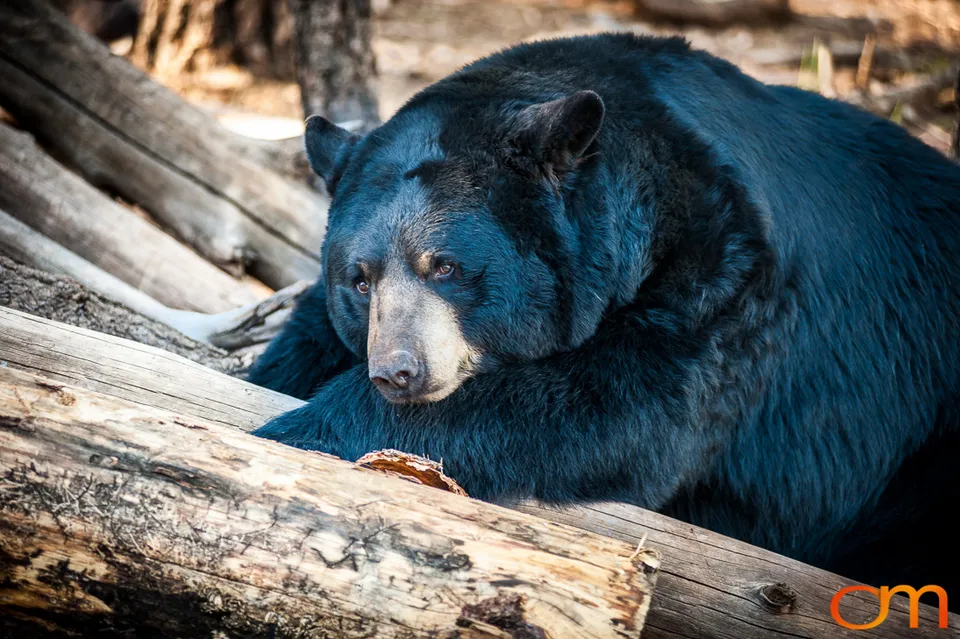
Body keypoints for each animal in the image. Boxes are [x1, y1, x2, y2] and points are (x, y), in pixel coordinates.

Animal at [248, 33, 960, 596]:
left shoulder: (726, 277)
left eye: (444, 266)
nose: (398, 371)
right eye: (359, 280)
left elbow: (618, 408)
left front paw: (298, 432)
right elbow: (303, 343)